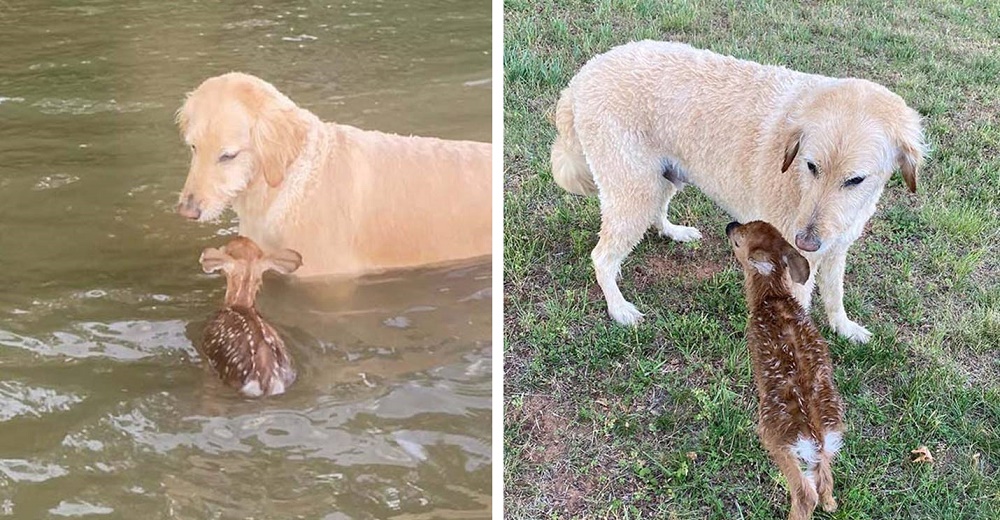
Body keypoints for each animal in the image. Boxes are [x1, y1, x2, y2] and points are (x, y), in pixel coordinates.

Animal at [552, 39, 924, 342]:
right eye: (811, 166)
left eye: (855, 180)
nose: (806, 241)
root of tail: (583, 74)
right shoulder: (796, 267)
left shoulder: (836, 250)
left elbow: (835, 295)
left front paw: (843, 327)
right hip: (634, 191)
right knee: (602, 258)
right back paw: (618, 309)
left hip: (662, 179)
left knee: (656, 213)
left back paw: (673, 231)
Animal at [728, 220, 844, 520]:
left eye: (739, 240)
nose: (731, 225)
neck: (773, 297)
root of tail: (816, 437)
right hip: (823, 449)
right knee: (824, 480)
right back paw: (831, 503)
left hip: (776, 438)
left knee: (805, 493)